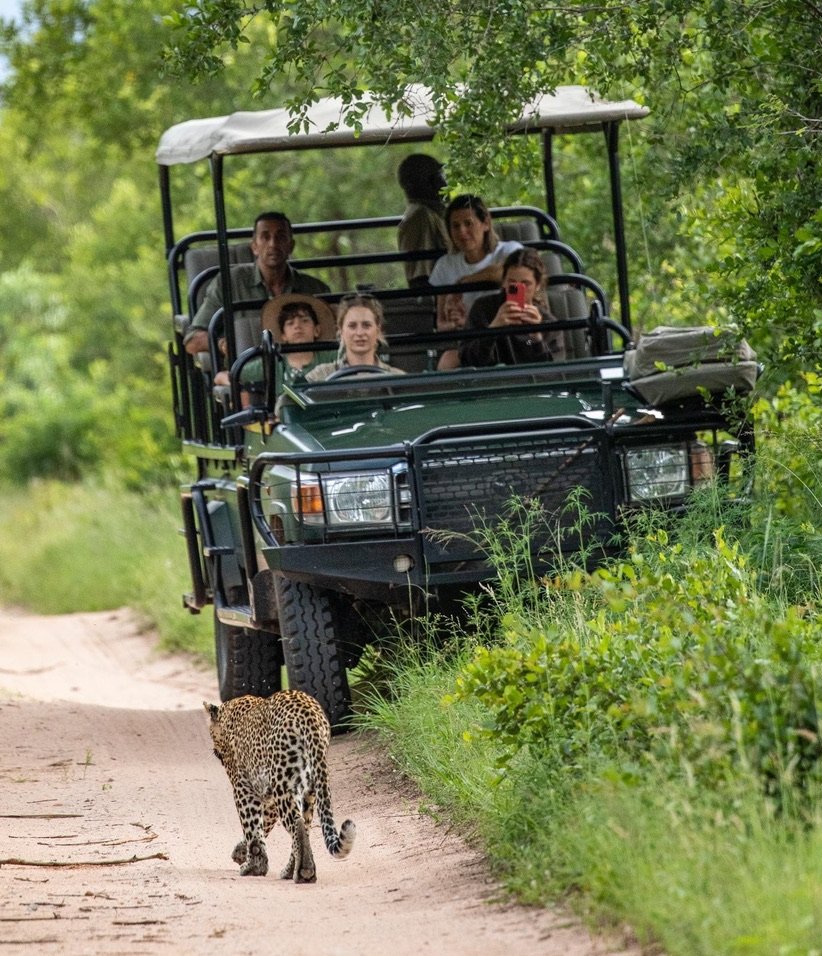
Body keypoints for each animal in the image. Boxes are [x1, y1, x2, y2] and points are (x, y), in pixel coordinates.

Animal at [204, 689, 355, 883]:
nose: (215, 751)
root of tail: (309, 714)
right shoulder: (267, 796)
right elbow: (262, 825)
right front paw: (241, 852)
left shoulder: (243, 787)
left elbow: (252, 828)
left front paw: (253, 866)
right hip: (308, 789)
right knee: (305, 827)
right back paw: (292, 871)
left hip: (283, 783)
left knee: (297, 824)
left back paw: (303, 871)